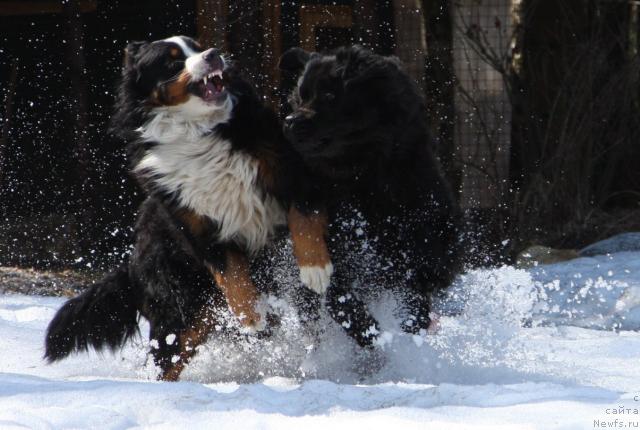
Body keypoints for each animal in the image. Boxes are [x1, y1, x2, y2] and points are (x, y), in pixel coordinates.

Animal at [43, 36, 336, 380]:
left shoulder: (290, 170)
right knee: (167, 361)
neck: (198, 132)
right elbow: (231, 274)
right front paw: (251, 315)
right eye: (172, 60)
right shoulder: (194, 224)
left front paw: (315, 269)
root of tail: (132, 267)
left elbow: (304, 216)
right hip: (180, 315)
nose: (213, 54)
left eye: (196, 47)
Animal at [278, 45, 460, 348]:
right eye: (299, 99)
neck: (362, 175)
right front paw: (367, 330)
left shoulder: (429, 233)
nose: (289, 122)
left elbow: (417, 286)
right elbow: (336, 292)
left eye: (330, 95)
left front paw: (410, 327)